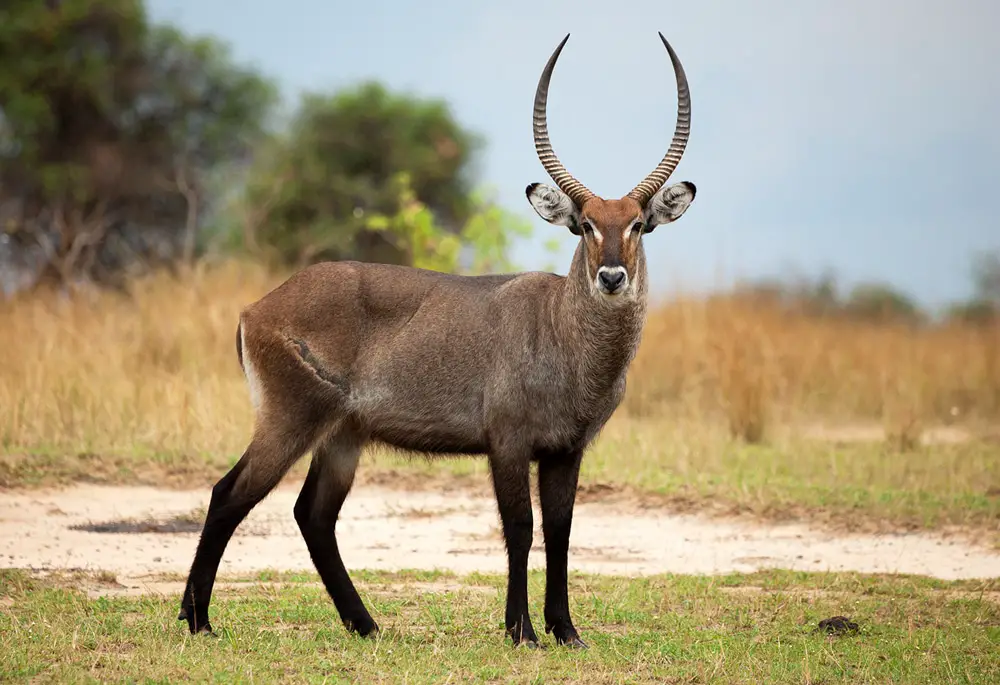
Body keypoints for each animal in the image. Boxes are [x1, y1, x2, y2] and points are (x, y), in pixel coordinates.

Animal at [178, 32, 696, 648]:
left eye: (638, 224)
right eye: (586, 224)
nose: (612, 277)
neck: (566, 335)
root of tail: (255, 307)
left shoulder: (566, 449)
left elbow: (561, 530)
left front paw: (566, 631)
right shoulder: (508, 441)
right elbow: (520, 528)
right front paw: (522, 631)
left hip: (344, 434)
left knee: (313, 515)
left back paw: (365, 625)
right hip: (290, 420)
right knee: (229, 495)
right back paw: (200, 621)